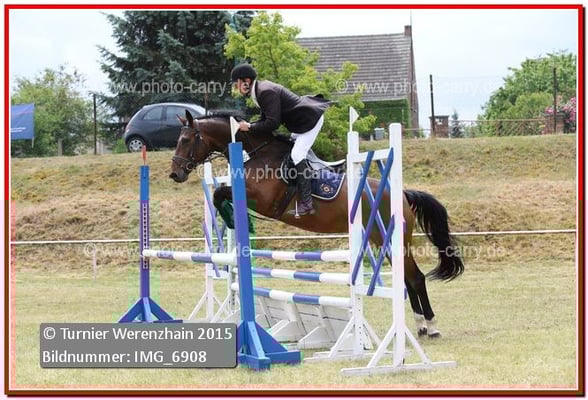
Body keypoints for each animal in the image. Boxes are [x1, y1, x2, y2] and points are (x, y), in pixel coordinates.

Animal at [169, 110, 464, 338]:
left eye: (186, 140)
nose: (175, 174)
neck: (257, 155)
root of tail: (402, 193)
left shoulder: (263, 200)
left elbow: (221, 193)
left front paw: (235, 218)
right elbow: (219, 194)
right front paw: (234, 220)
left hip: (393, 239)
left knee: (415, 278)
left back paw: (431, 327)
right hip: (383, 241)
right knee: (407, 278)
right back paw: (420, 326)